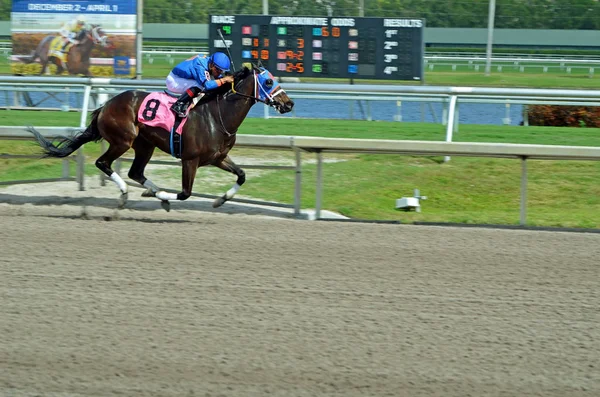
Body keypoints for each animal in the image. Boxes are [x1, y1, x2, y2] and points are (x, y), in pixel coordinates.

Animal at [30, 64, 296, 212]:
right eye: (269, 81)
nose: (289, 104)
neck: (216, 116)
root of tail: (106, 105)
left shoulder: (218, 158)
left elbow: (242, 175)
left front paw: (220, 200)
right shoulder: (190, 160)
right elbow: (185, 193)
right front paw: (163, 197)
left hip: (144, 146)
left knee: (135, 172)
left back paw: (150, 191)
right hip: (123, 140)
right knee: (103, 163)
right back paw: (127, 193)